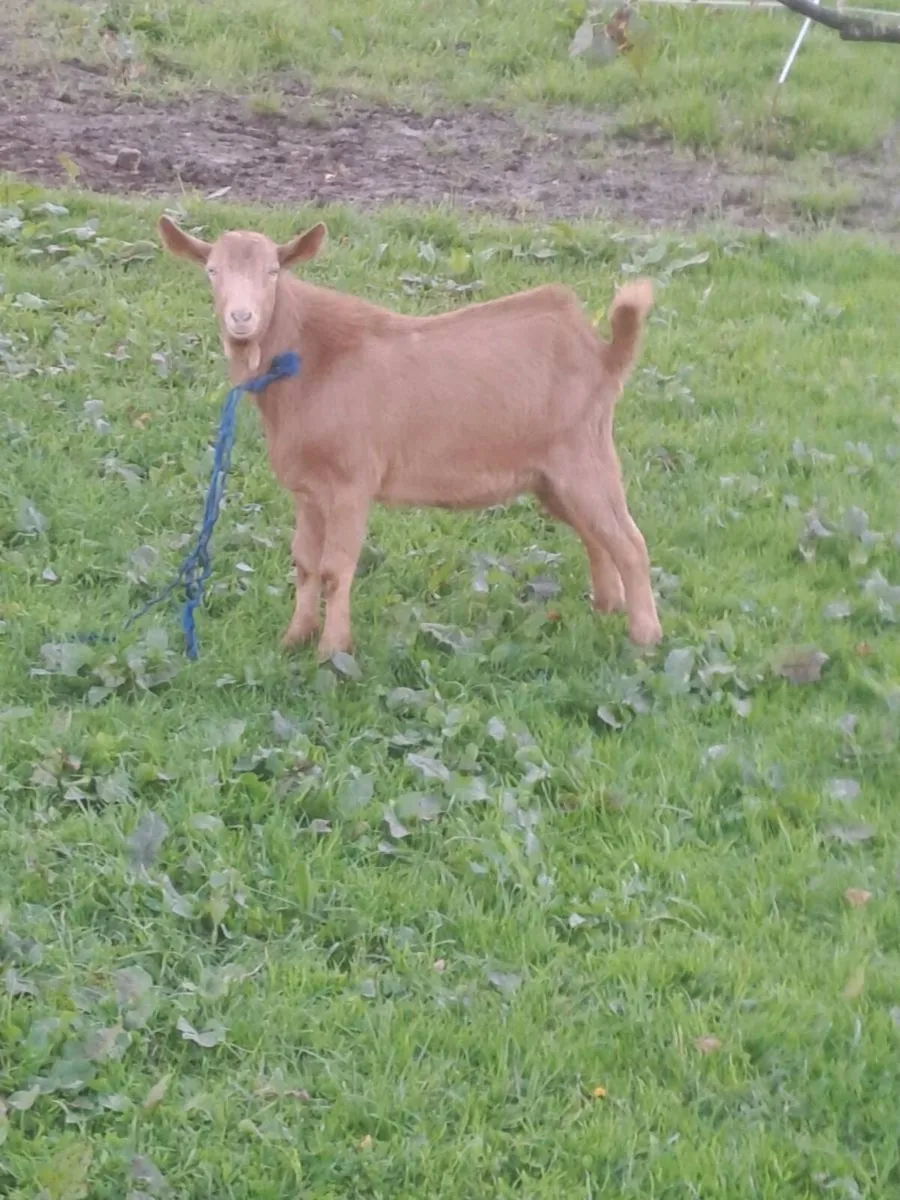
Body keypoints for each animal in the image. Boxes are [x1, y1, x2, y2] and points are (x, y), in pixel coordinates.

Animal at [157, 216, 663, 660]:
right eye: (211, 271)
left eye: (273, 271)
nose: (241, 318)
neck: (310, 361)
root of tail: (603, 354)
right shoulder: (307, 490)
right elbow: (304, 563)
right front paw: (294, 639)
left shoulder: (351, 483)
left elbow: (335, 568)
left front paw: (331, 653)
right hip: (549, 477)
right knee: (595, 535)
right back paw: (607, 607)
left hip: (584, 457)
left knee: (630, 541)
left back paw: (645, 639)